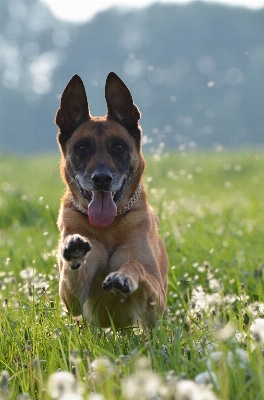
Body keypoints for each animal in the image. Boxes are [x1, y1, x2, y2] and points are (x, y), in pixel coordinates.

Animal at [54, 72, 168, 328]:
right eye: (82, 147)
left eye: (118, 146)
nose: (102, 179)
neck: (109, 226)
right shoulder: (73, 300)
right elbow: (72, 281)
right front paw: (74, 252)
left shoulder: (157, 299)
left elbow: (135, 265)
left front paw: (123, 276)